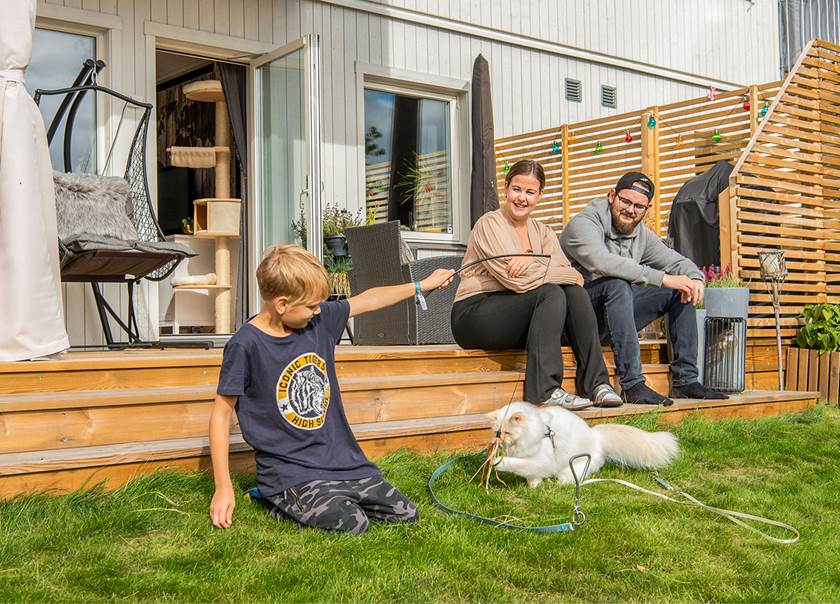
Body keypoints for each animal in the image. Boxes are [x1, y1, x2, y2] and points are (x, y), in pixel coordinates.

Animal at [488, 402, 680, 486]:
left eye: (507, 432)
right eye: (497, 432)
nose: (499, 440)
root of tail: (596, 436)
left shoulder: (539, 461)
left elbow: (519, 465)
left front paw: (498, 462)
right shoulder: (534, 467)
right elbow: (532, 478)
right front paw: (533, 489)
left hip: (571, 469)